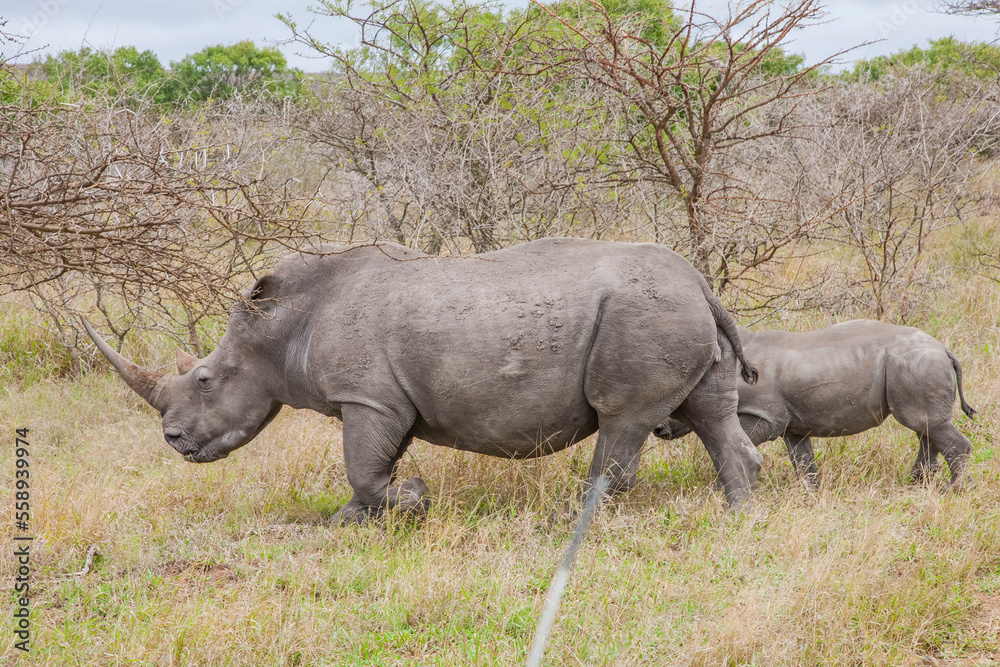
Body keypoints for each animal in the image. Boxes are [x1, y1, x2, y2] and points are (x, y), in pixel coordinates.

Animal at [83, 238, 764, 523]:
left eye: (205, 379)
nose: (172, 440)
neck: (281, 327)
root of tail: (701, 282)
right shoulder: (389, 399)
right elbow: (370, 469)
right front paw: (350, 519)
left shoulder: (366, 396)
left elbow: (364, 466)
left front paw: (413, 499)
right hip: (672, 310)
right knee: (709, 411)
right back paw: (739, 514)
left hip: (645, 314)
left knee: (622, 418)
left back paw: (566, 517)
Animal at [654, 320, 975, 490]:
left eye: (675, 406)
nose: (658, 429)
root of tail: (944, 349)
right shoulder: (792, 425)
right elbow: (803, 461)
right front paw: (811, 493)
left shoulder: (767, 416)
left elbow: (742, 441)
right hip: (917, 366)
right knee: (926, 426)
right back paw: (919, 483)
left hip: (917, 364)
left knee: (924, 424)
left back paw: (956, 490)